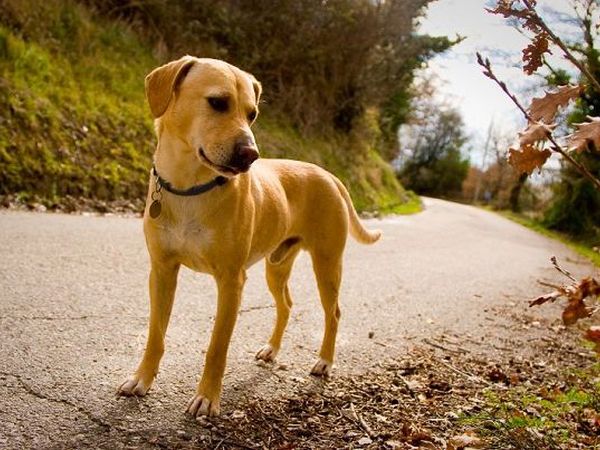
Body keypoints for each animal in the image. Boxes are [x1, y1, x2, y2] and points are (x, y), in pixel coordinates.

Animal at [117, 56, 380, 418]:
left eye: (252, 113)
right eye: (217, 102)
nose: (250, 154)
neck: (190, 187)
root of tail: (328, 174)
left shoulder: (231, 282)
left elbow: (217, 346)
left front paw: (207, 397)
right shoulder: (162, 272)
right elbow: (155, 335)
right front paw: (142, 379)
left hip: (327, 264)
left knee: (334, 312)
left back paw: (325, 361)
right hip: (277, 266)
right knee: (286, 305)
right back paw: (272, 349)